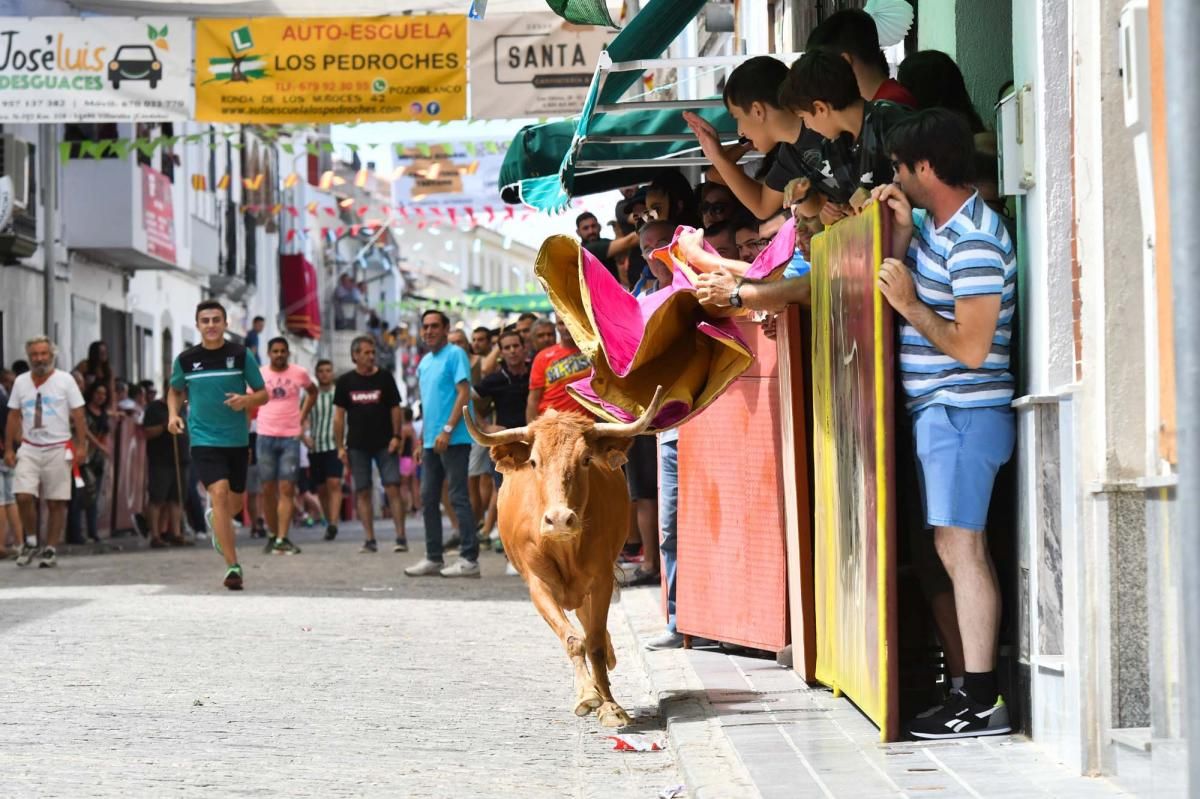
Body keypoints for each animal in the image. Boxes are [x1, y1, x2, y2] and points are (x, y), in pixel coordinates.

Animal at [463, 386, 667, 729]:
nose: (559, 519)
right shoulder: (538, 586)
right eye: (534, 462)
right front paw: (587, 694)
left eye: (585, 459)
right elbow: (574, 639)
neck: (566, 548)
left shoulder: (601, 582)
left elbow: (594, 642)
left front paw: (609, 705)